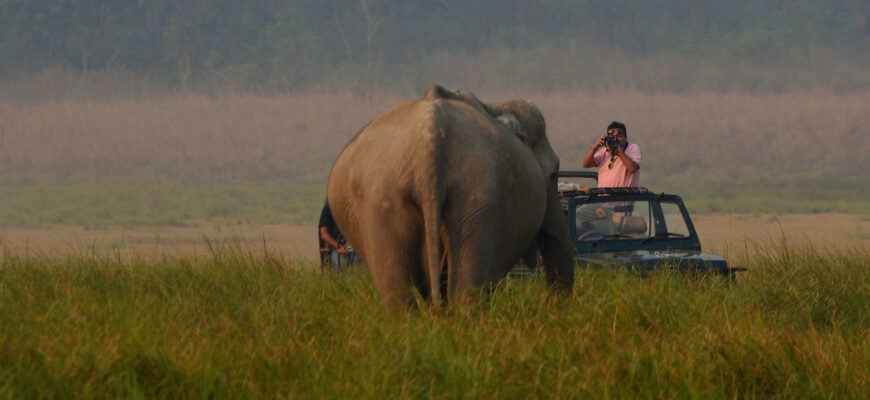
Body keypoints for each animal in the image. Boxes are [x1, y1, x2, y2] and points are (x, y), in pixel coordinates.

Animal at [326, 84, 572, 310]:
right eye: (554, 173)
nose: (552, 305)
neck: (495, 106)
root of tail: (429, 150)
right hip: (476, 196)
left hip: (390, 204)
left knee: (403, 296)